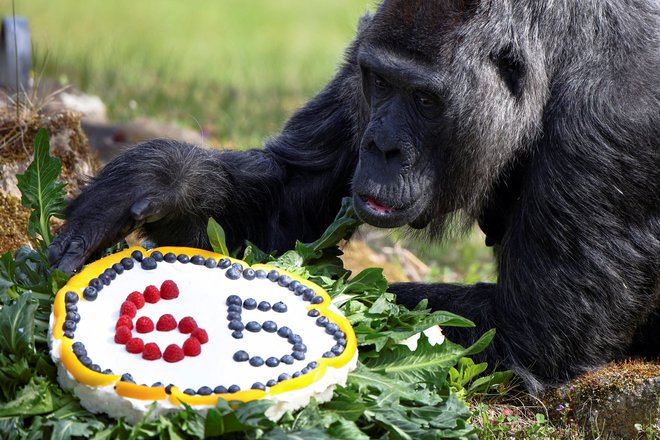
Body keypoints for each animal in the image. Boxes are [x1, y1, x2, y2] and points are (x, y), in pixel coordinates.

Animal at [49, 0, 656, 392]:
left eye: (425, 99)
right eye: (381, 83)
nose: (381, 145)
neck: (562, 55)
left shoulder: (610, 127)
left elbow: (524, 343)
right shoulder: (362, 54)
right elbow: (282, 205)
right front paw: (157, 178)